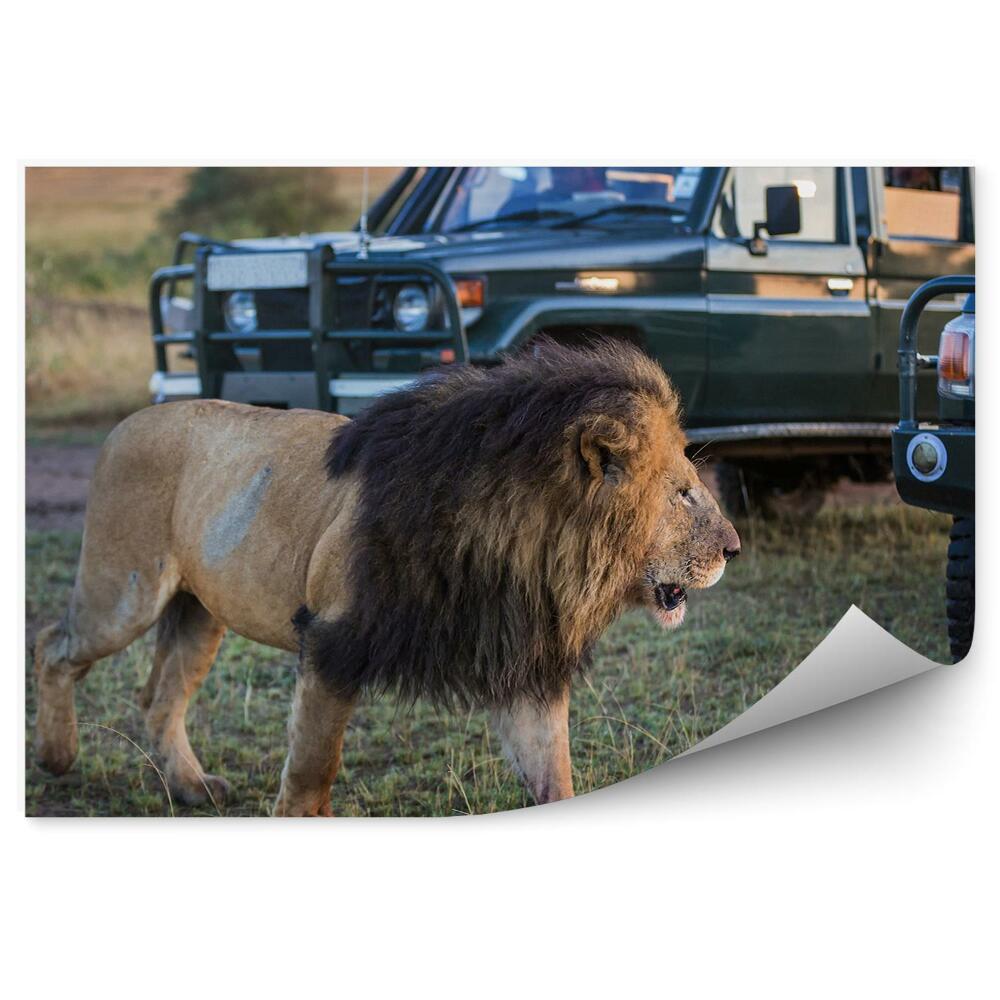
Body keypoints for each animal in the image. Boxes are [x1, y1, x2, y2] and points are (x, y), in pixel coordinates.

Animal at [34, 340, 740, 815]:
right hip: (123, 592)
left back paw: (190, 786)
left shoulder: (521, 664)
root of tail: (126, 424)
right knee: (51, 646)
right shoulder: (332, 641)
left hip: (199, 611)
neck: (530, 549)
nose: (733, 549)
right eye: (682, 493)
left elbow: (554, 776)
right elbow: (311, 771)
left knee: (159, 697)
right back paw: (55, 758)